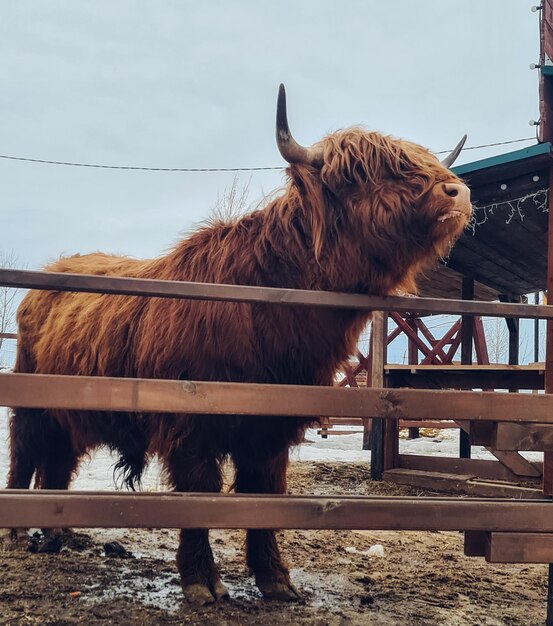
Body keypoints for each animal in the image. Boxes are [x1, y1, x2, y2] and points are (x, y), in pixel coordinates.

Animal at [6, 85, 468, 604]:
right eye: (360, 175)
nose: (457, 190)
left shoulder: (271, 429)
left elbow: (263, 492)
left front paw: (276, 579)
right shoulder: (187, 427)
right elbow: (200, 492)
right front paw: (201, 582)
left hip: (69, 406)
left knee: (59, 459)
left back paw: (57, 533)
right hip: (30, 398)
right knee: (25, 450)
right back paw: (20, 533)